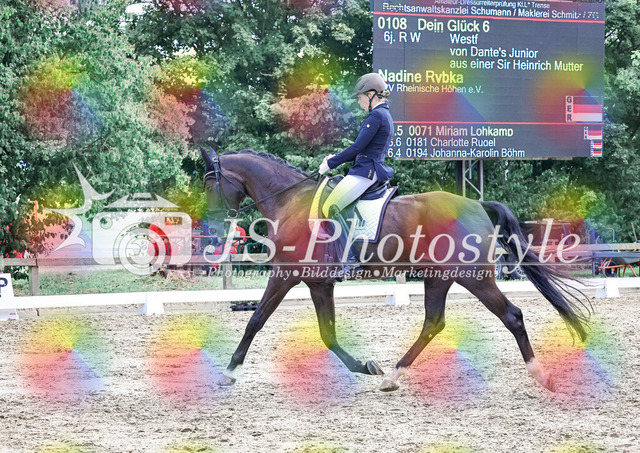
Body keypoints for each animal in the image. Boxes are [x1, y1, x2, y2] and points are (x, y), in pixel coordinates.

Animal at [201, 147, 590, 392]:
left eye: (209, 183)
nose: (213, 224)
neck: (289, 201)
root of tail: (478, 204)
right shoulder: (318, 284)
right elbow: (328, 334)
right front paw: (367, 366)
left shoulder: (285, 275)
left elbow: (255, 320)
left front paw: (228, 372)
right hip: (438, 278)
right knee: (433, 322)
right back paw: (393, 376)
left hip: (473, 277)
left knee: (512, 315)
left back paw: (540, 374)